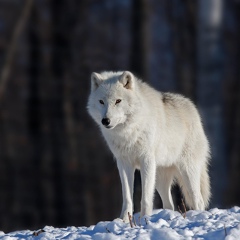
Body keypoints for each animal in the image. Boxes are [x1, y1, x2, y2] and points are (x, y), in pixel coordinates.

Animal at [87, 70, 211, 222]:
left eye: (118, 101)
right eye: (101, 102)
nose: (106, 120)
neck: (128, 132)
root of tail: (192, 107)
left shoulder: (146, 160)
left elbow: (145, 197)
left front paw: (144, 219)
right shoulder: (123, 163)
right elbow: (127, 197)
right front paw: (124, 220)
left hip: (187, 171)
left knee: (198, 200)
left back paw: (199, 217)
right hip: (159, 178)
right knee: (169, 204)